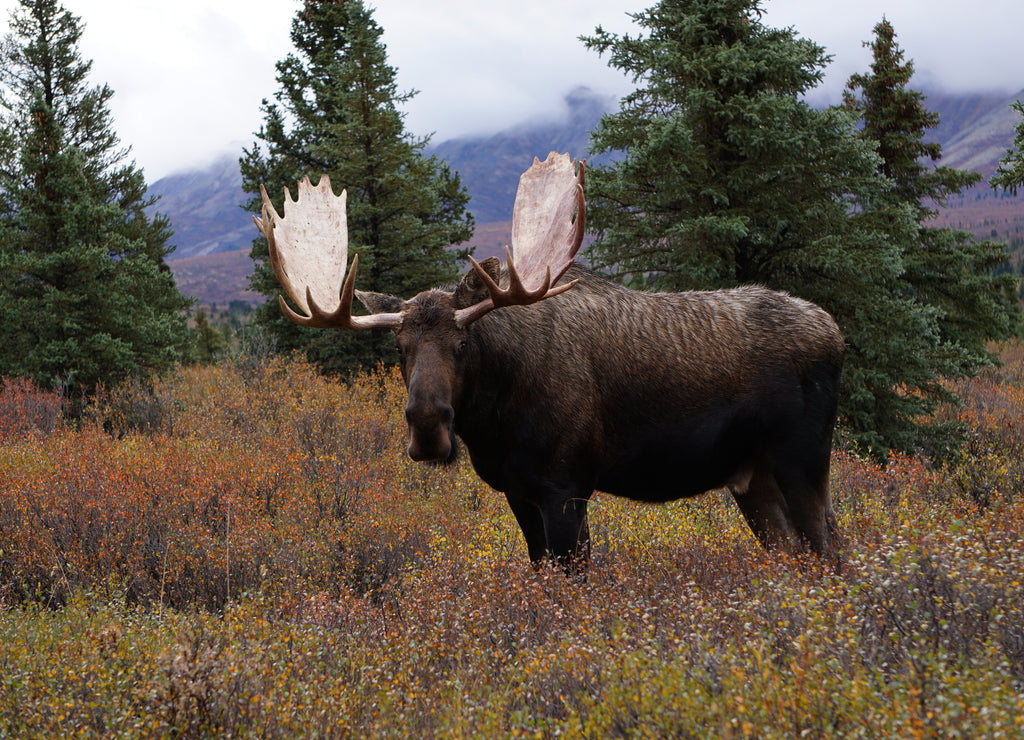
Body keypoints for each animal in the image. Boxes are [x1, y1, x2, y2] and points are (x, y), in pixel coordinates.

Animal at [251, 149, 843, 569]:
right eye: (399, 349)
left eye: (462, 344)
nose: (427, 427)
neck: (495, 423)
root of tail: (835, 333)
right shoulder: (518, 492)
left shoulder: (566, 487)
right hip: (751, 476)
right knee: (796, 551)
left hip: (803, 460)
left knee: (831, 547)